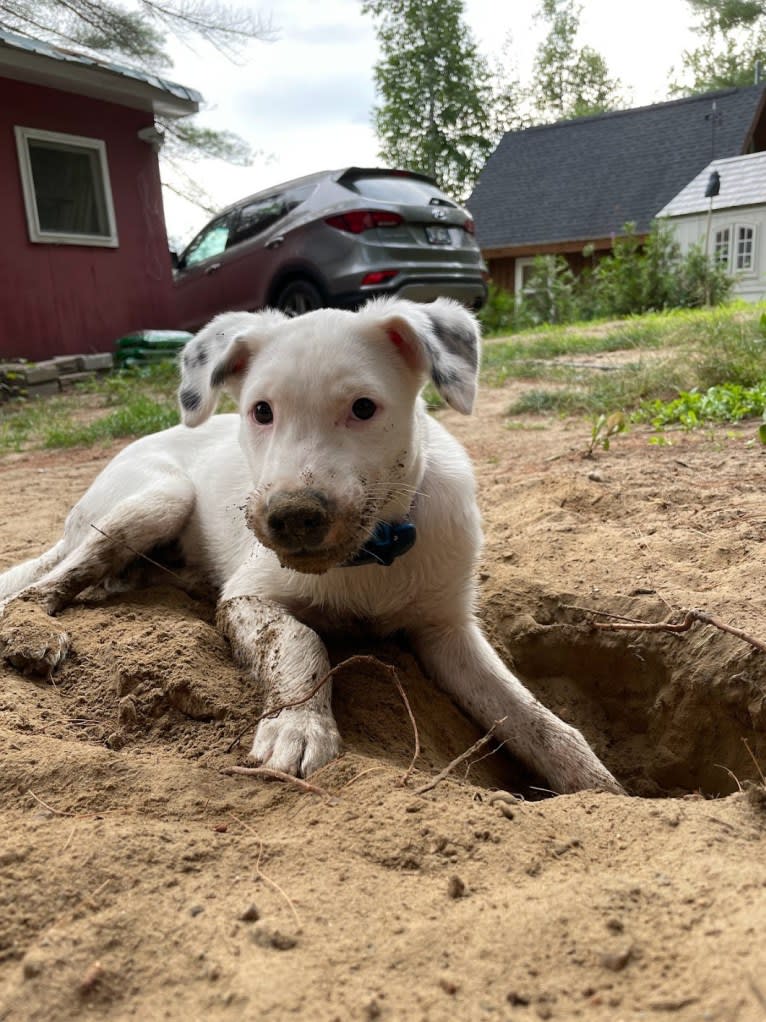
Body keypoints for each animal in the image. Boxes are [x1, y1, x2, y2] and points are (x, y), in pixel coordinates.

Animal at [0, 296, 620, 788]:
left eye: (364, 408)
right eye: (261, 412)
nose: (292, 518)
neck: (371, 555)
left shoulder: (448, 630)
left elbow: (526, 712)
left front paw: (592, 781)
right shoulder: (248, 595)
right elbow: (301, 641)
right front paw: (298, 726)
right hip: (160, 496)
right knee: (54, 578)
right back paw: (33, 631)